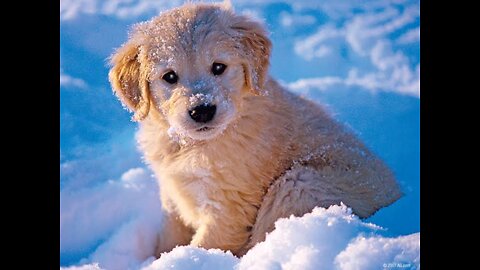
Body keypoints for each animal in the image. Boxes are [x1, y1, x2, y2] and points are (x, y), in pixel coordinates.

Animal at [108, 1, 402, 255]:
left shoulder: (229, 209)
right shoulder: (172, 194)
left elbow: (204, 245)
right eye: (169, 76)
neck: (193, 145)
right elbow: (168, 237)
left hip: (298, 183)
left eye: (218, 67)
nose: (202, 110)